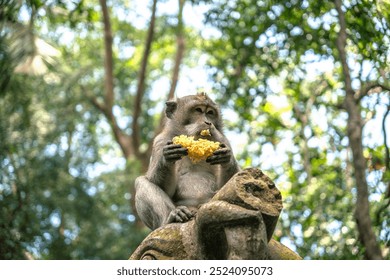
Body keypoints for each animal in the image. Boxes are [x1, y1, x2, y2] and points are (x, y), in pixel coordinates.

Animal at [135, 93, 241, 229]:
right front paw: (167, 158)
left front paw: (226, 158)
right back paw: (172, 216)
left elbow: (230, 181)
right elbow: (160, 185)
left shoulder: (223, 141)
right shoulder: (160, 142)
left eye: (210, 112)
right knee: (141, 181)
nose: (208, 122)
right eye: (198, 110)